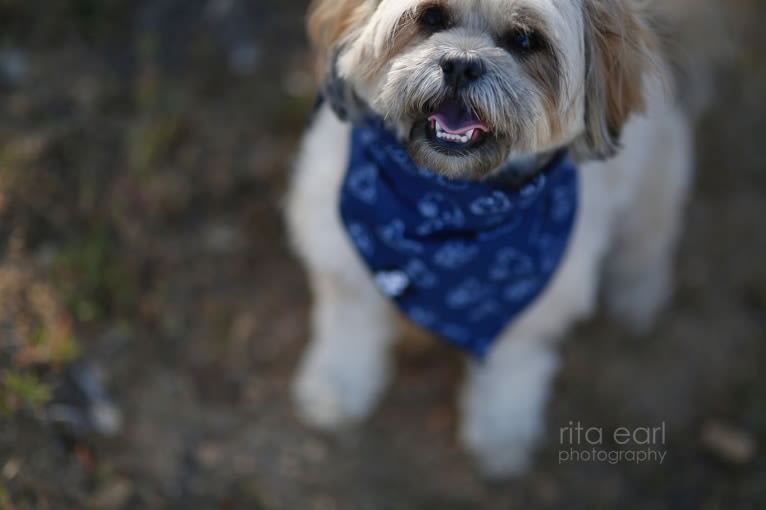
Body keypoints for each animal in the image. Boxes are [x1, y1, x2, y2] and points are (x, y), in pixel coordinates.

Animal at [286, 0, 720, 478]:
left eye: (526, 40)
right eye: (431, 17)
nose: (460, 65)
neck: (447, 210)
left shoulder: (535, 307)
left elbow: (513, 371)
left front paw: (501, 435)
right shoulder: (344, 259)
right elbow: (348, 330)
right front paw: (335, 389)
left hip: (653, 183)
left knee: (648, 243)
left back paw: (637, 297)